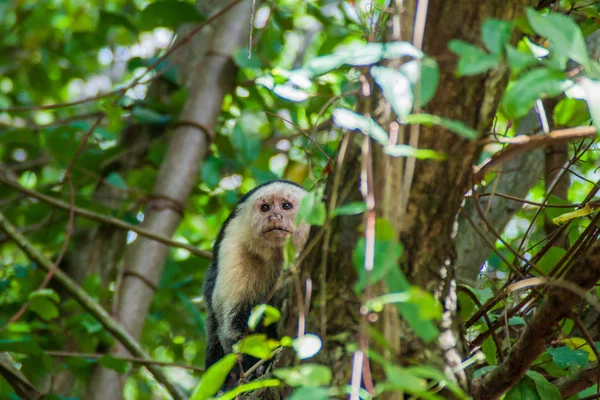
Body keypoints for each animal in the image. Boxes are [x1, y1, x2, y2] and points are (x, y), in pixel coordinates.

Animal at [204, 180, 312, 380]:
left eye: (286, 206)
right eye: (265, 208)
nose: (274, 216)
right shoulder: (234, 245)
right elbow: (237, 320)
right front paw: (255, 366)